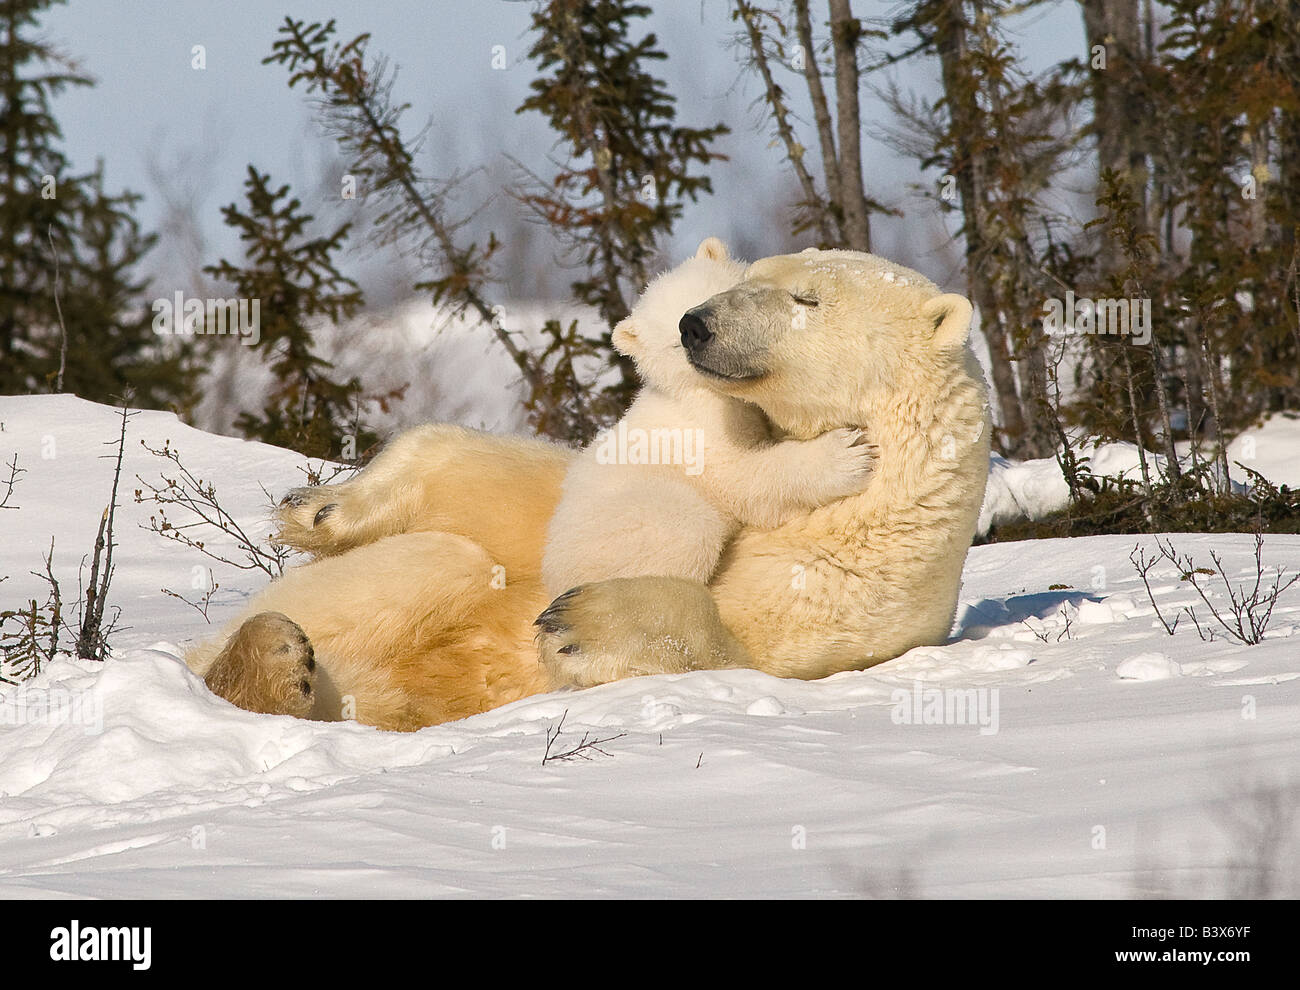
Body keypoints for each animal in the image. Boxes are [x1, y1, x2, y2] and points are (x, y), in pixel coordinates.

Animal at [188, 246, 987, 727]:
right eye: (751, 275)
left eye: (807, 299)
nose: (698, 326)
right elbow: (518, 500)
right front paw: (322, 507)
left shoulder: (857, 582)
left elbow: (746, 642)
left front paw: (582, 621)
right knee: (437, 563)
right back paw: (272, 651)